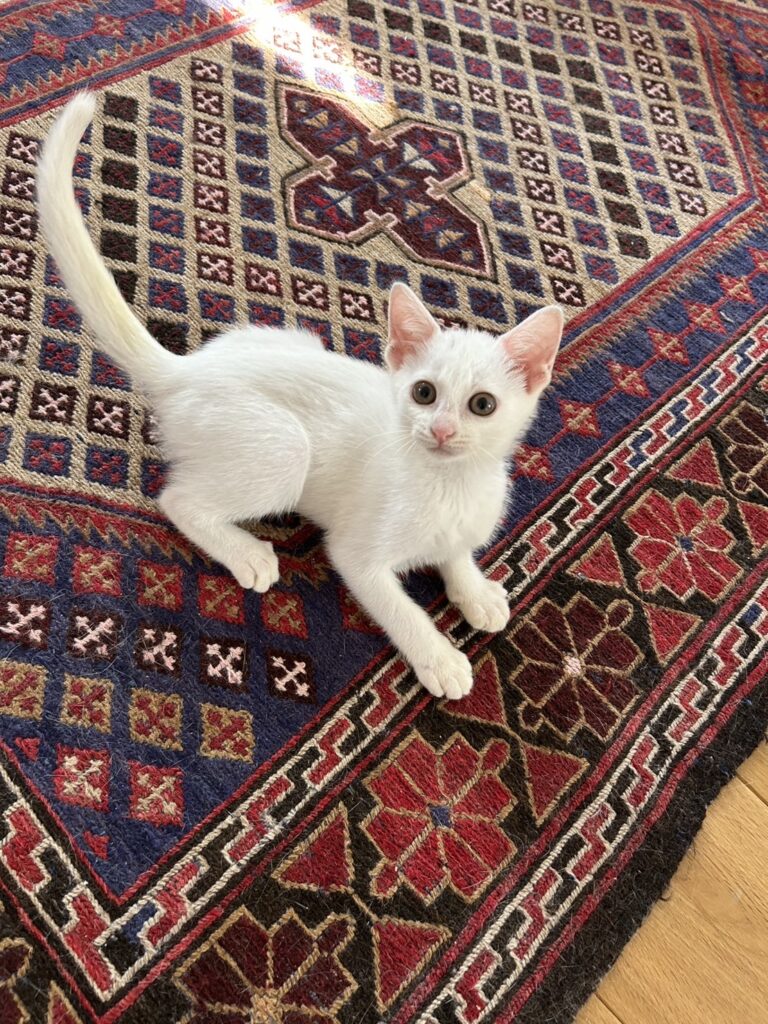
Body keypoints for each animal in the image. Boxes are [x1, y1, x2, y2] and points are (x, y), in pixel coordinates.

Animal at [36, 92, 563, 700]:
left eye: (482, 405)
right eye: (424, 393)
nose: (441, 430)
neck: (449, 486)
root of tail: (188, 369)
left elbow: (455, 556)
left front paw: (475, 592)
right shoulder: (356, 553)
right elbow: (399, 607)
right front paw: (440, 658)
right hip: (286, 449)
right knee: (178, 500)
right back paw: (246, 553)